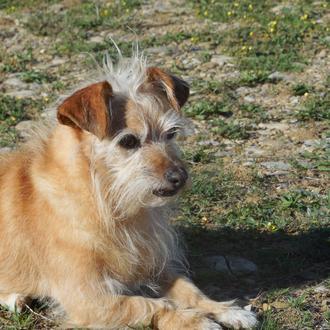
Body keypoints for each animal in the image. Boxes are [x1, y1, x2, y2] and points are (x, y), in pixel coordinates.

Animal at [0, 52, 258, 328]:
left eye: (171, 133)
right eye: (128, 141)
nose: (180, 177)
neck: (110, 204)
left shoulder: (155, 266)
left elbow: (190, 290)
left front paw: (226, 309)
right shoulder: (87, 297)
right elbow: (149, 304)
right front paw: (193, 321)